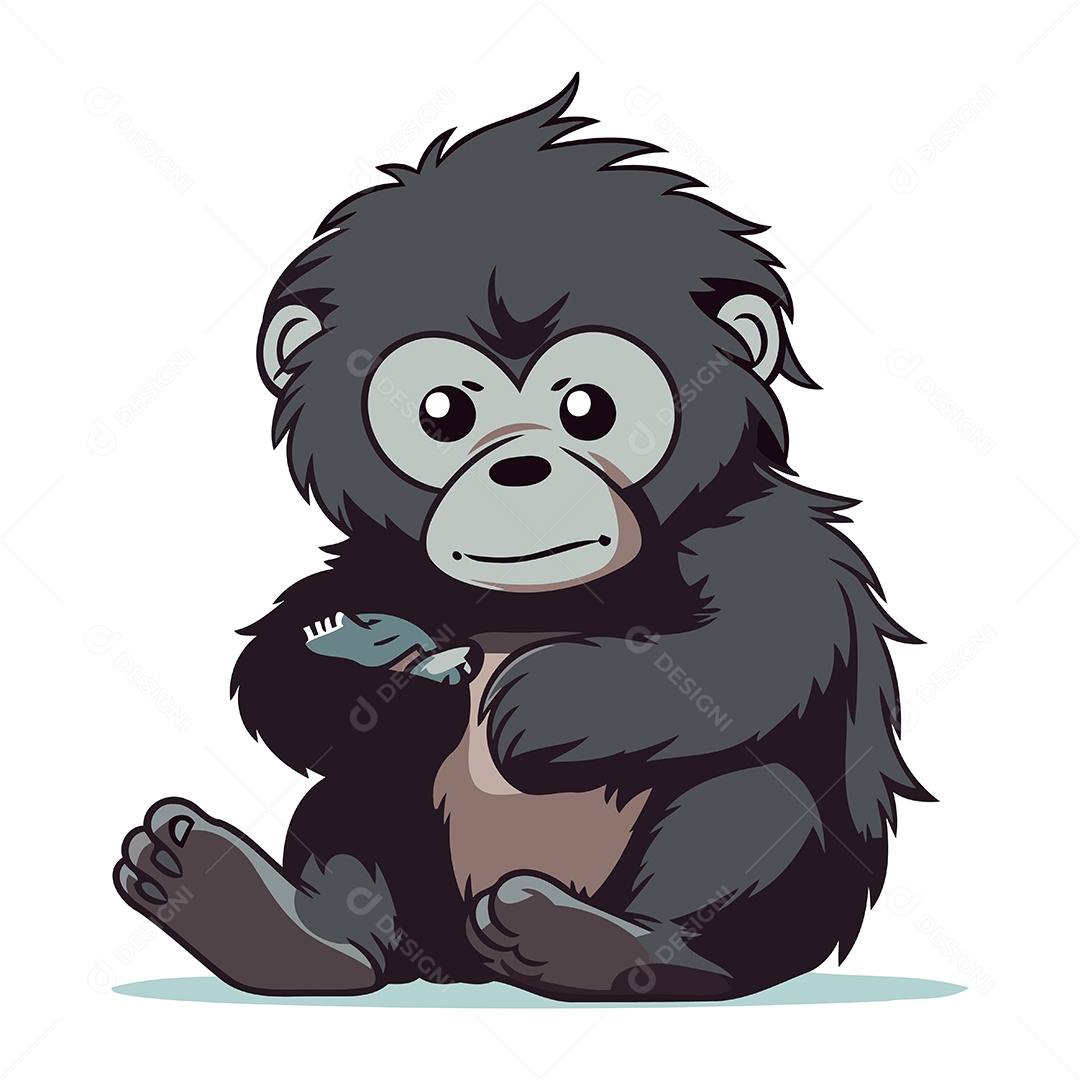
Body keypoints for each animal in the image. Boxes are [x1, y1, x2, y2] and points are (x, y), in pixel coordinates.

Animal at [113, 75, 933, 1001]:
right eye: (442, 412)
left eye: (588, 407)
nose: (520, 469)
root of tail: (468, 969)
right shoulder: (383, 562)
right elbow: (287, 666)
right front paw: (385, 673)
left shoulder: (767, 536)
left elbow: (759, 648)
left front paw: (538, 699)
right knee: (356, 803)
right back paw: (272, 922)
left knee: (748, 802)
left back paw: (614, 947)